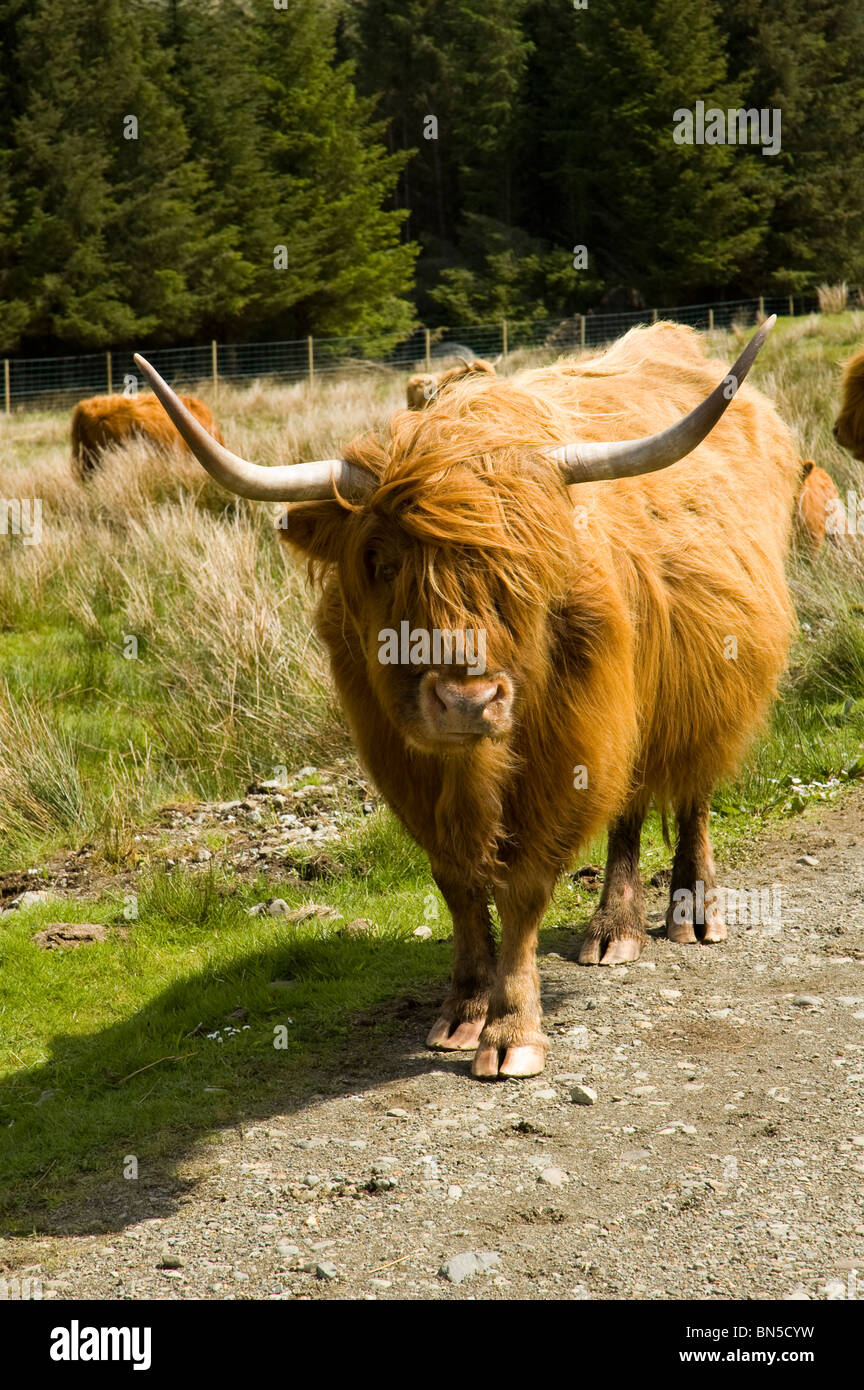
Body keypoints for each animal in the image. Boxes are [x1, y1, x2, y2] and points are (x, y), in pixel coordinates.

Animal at [134, 317, 799, 1080]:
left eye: (525, 564)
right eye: (381, 562)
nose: (467, 701)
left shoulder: (570, 748)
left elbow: (524, 886)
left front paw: (512, 1029)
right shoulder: (404, 762)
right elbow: (457, 883)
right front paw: (463, 1009)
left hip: (709, 689)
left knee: (692, 794)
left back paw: (694, 912)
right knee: (630, 811)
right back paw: (614, 930)